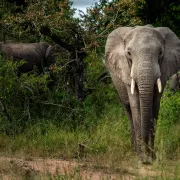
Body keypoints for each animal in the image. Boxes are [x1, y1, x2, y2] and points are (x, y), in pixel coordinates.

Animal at [105, 24, 180, 164]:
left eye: (160, 53)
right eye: (129, 54)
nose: (146, 158)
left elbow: (155, 107)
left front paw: (152, 157)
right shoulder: (126, 71)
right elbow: (135, 106)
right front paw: (141, 157)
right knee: (128, 111)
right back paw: (133, 150)